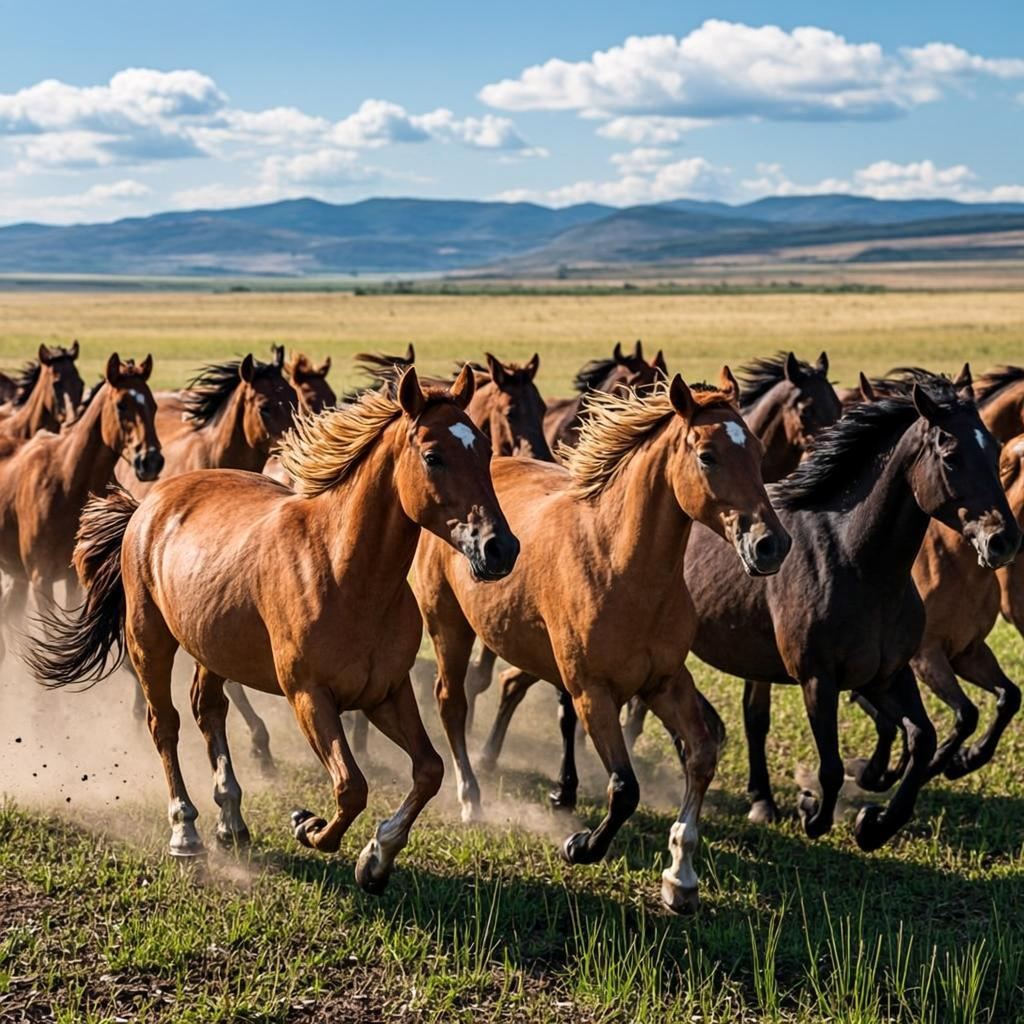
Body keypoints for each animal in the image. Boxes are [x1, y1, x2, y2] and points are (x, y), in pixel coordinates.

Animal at [0, 354, 161, 638]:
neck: (67, 482)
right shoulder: (41, 579)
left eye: (153, 405)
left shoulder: (72, 578)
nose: (151, 460)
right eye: (121, 405)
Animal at [28, 366, 518, 897]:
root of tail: (147, 504)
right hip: (149, 641)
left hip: (212, 649)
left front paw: (376, 857)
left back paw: (231, 821)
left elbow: (429, 770)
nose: (501, 548)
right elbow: (351, 786)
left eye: (485, 450)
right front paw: (309, 826)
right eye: (433, 456)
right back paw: (186, 832)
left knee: (209, 711)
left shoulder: (386, 692)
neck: (345, 572)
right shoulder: (309, 696)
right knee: (165, 725)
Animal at [413, 372, 790, 912]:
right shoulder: (593, 691)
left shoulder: (665, 682)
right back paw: (471, 798)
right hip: (449, 626)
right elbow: (625, 787)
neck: (620, 565)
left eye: (758, 451)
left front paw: (681, 875)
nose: (771, 544)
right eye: (708, 455)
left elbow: (700, 756)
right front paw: (580, 845)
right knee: (452, 704)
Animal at [681, 369, 1018, 849]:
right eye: (951, 456)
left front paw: (874, 823)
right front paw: (811, 809)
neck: (857, 564)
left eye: (993, 449)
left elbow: (923, 738)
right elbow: (833, 767)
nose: (1004, 540)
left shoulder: (890, 673)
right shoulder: (819, 680)